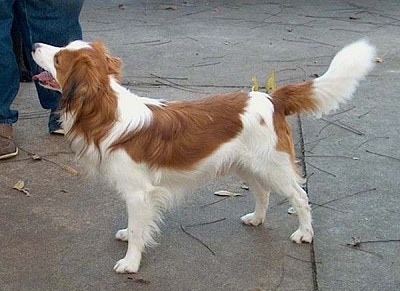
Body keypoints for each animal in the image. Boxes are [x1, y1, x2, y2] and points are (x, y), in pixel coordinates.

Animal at [31, 38, 376, 274]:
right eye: (61, 49)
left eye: (58, 58)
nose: (34, 44)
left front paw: (131, 261)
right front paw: (129, 235)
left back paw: (304, 233)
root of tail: (272, 98)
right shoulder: (137, 194)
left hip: (273, 166)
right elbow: (137, 224)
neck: (106, 111)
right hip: (247, 165)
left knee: (299, 196)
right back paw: (257, 219)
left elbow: (140, 227)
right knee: (262, 193)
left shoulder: (139, 192)